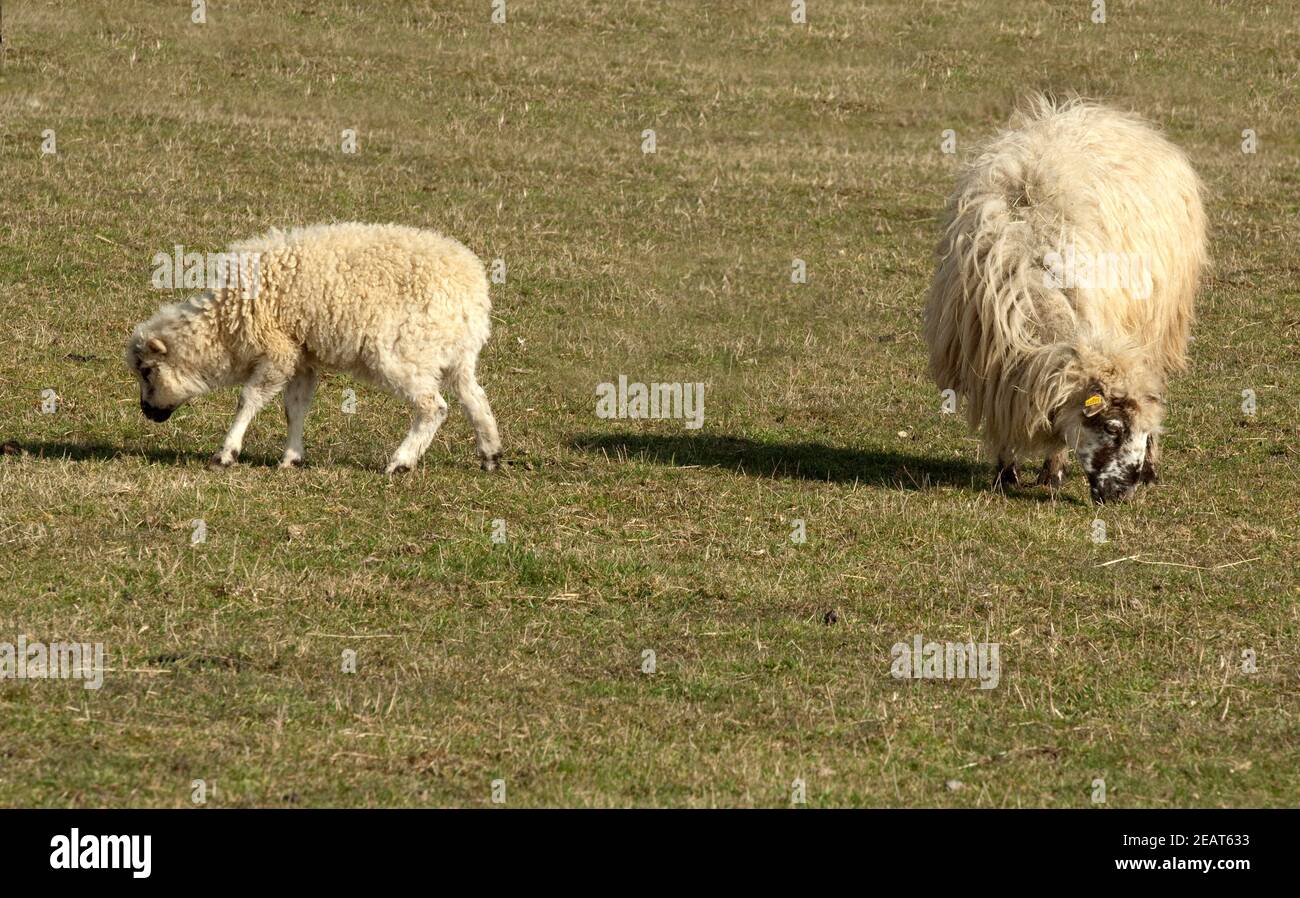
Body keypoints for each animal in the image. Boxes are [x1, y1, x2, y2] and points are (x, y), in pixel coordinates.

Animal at [125, 222, 501, 473]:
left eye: (147, 371)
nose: (146, 412)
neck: (224, 324)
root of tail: (472, 290)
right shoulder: (301, 357)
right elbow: (295, 408)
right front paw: (291, 457)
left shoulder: (278, 351)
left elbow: (248, 400)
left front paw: (226, 453)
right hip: (455, 356)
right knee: (474, 397)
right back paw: (491, 454)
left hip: (402, 352)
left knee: (433, 407)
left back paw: (401, 462)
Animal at [925, 100, 1206, 506]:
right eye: (1112, 427)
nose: (1124, 494)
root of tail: (1113, 116)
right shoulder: (994, 362)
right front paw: (1005, 473)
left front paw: (1052, 473)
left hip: (1161, 323)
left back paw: (1152, 467)